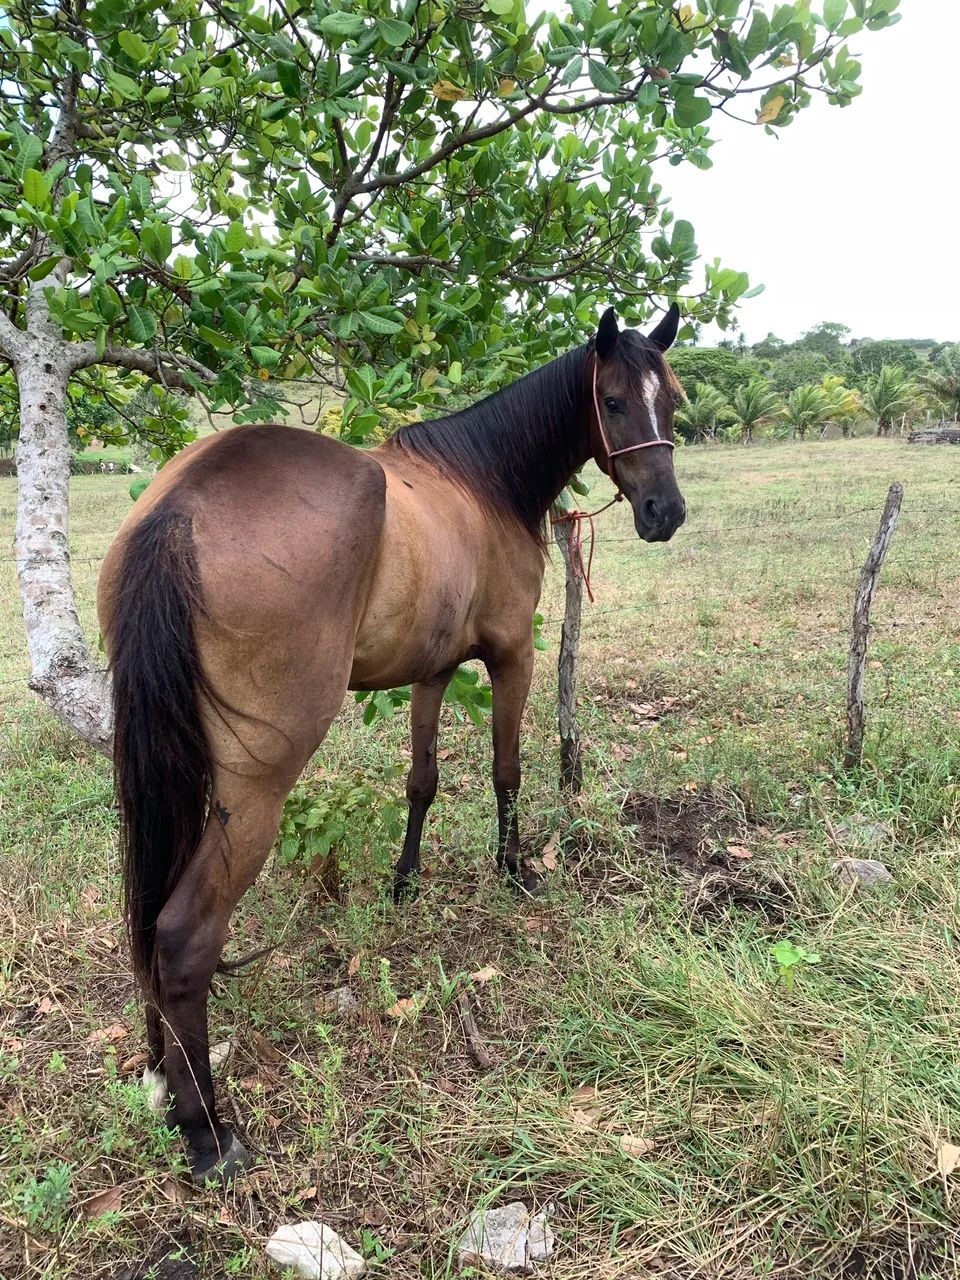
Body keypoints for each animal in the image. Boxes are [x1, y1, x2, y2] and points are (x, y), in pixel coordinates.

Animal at [97, 303, 686, 1183]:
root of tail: (180, 510)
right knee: (180, 936)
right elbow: (506, 769)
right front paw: (513, 870)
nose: (665, 512)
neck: (482, 482)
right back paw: (209, 1130)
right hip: (254, 788)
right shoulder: (513, 657)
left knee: (149, 919)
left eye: (671, 399)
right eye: (612, 401)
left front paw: (406, 882)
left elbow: (423, 780)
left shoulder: (433, 672)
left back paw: (165, 1087)